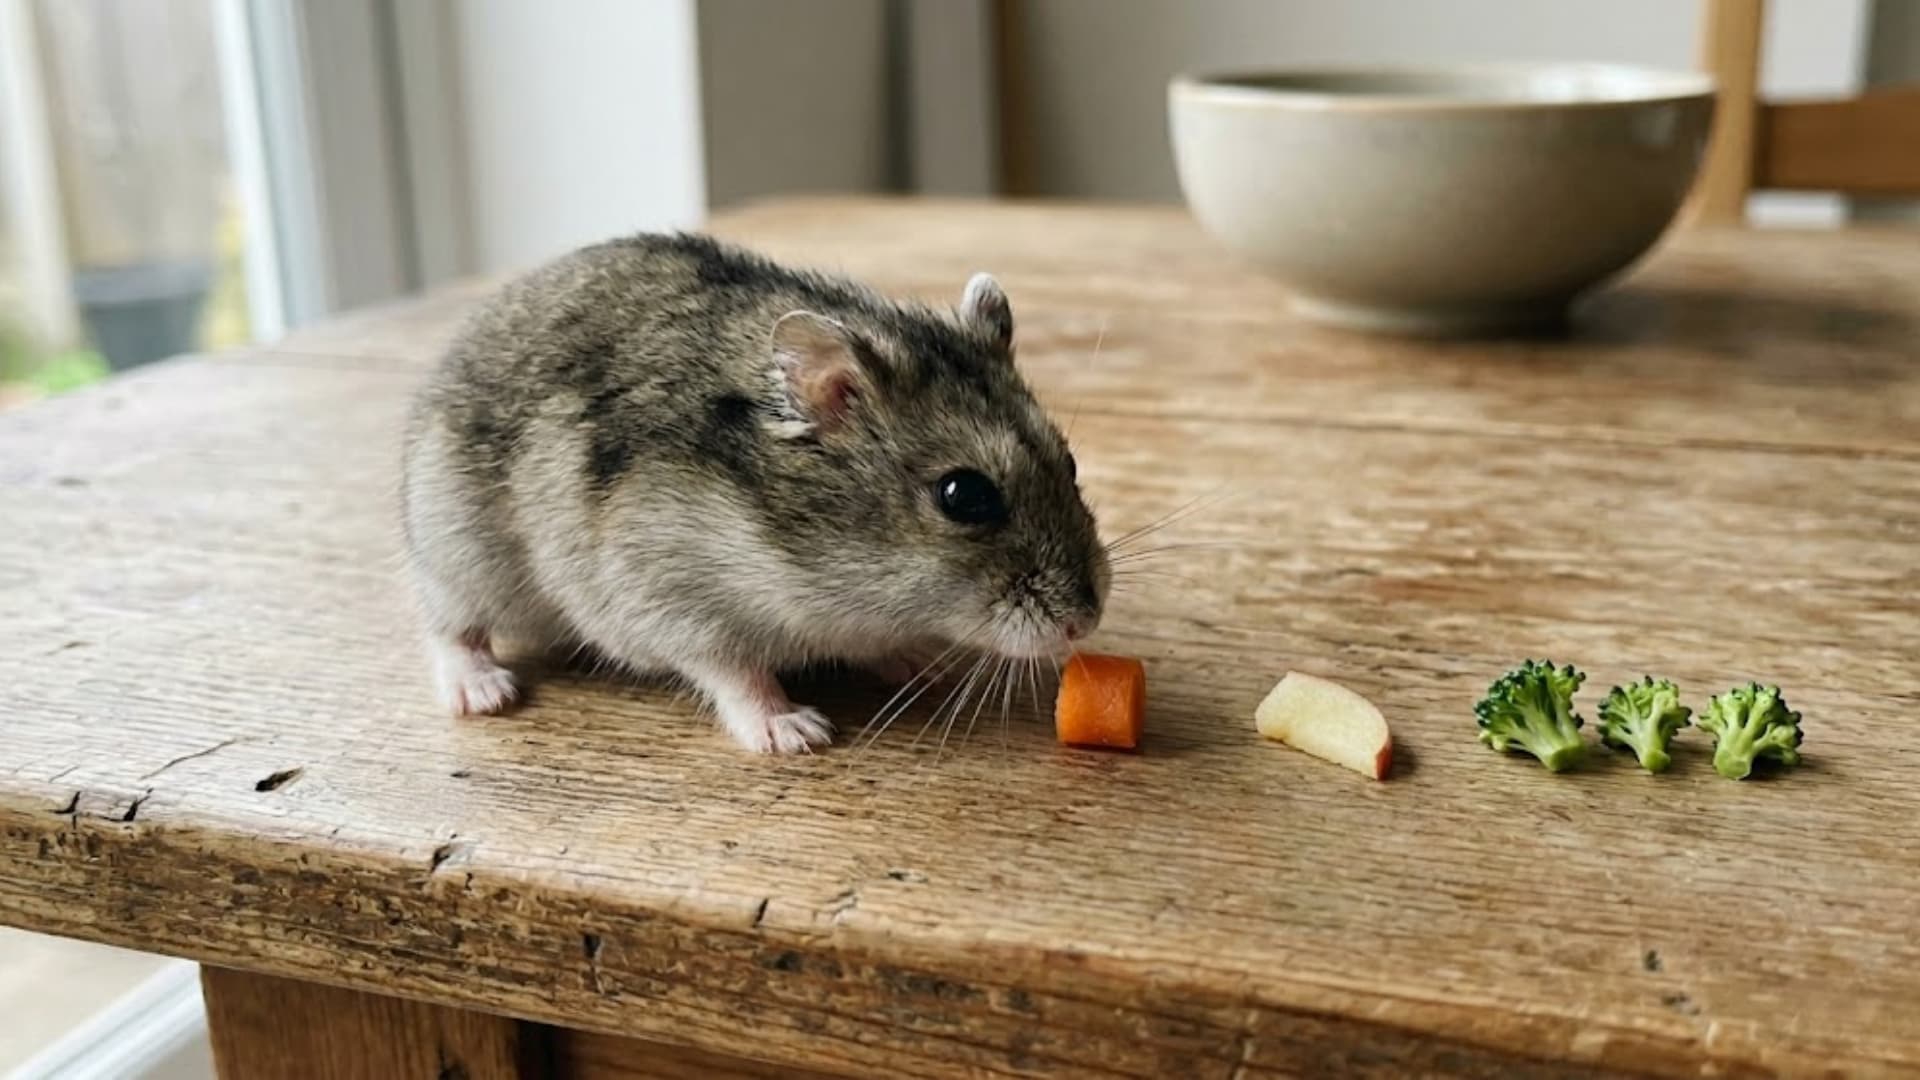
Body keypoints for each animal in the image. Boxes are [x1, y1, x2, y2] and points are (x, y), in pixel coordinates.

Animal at [400, 232, 1109, 753]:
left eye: (1072, 463)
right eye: (964, 495)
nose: (1085, 621)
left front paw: (922, 661)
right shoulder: (672, 598)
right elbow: (734, 673)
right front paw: (797, 733)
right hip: (456, 546)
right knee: (446, 626)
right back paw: (483, 692)